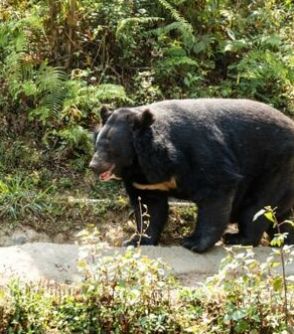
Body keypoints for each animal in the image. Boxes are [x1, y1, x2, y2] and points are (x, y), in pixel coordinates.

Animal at [89, 98, 294, 252]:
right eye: (97, 144)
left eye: (110, 148)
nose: (94, 166)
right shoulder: (145, 181)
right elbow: (150, 206)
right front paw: (135, 240)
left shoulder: (199, 153)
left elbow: (217, 190)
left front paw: (193, 243)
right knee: (281, 215)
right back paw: (285, 240)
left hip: (275, 167)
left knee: (257, 206)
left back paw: (238, 238)